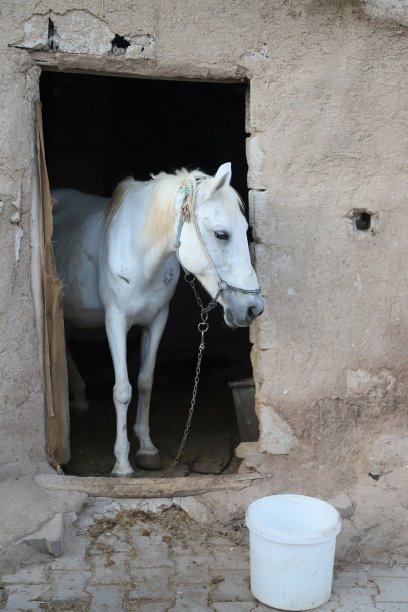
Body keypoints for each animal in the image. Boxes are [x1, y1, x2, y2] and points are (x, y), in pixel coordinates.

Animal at [52, 164, 262, 478]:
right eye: (222, 234)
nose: (253, 308)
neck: (140, 253)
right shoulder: (115, 322)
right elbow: (122, 390)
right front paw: (122, 464)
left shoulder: (157, 320)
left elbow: (145, 382)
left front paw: (147, 450)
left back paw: (78, 397)